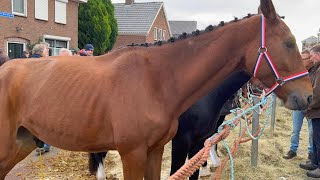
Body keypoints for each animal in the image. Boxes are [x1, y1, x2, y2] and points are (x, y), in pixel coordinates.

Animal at [0, 0, 312, 179]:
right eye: (288, 43)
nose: (308, 96)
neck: (156, 81)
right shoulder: (135, 154)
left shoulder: (156, 150)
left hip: (21, 144)